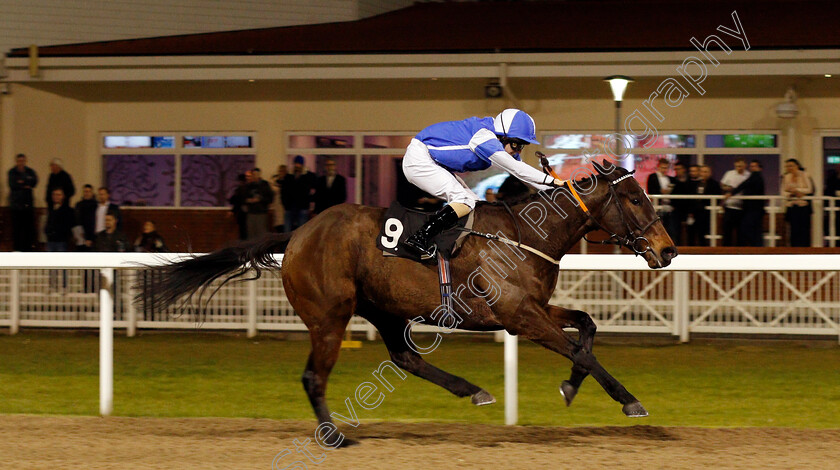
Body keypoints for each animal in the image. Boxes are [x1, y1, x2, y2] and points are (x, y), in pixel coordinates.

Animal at [143, 161, 676, 440]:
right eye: (634, 199)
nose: (668, 250)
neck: (526, 233)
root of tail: (298, 234)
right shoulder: (520, 316)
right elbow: (581, 351)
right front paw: (630, 401)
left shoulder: (534, 309)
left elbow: (586, 327)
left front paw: (569, 387)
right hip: (330, 316)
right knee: (316, 375)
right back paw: (333, 436)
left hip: (385, 309)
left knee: (406, 357)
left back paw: (473, 390)